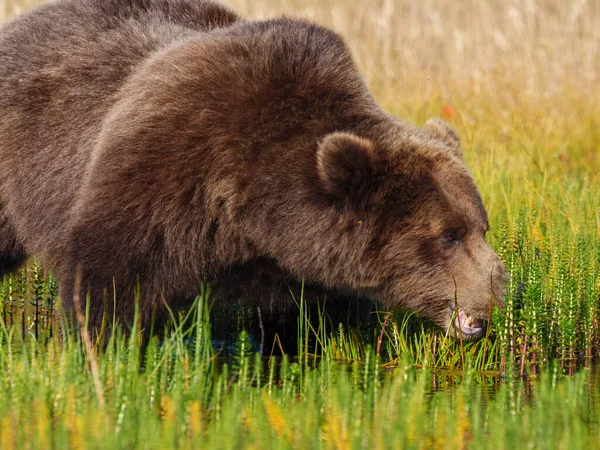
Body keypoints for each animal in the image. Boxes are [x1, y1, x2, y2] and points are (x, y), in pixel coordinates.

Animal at [0, 0, 506, 342]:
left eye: (481, 226)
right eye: (448, 234)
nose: (498, 291)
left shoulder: (303, 266)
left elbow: (312, 325)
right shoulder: (162, 173)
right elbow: (109, 286)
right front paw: (112, 356)